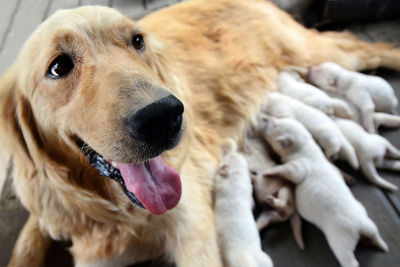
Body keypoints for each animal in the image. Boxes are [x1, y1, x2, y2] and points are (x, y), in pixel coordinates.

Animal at [262, 118, 388, 267]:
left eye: (275, 126)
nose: (265, 119)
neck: (306, 147)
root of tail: (361, 226)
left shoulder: (298, 168)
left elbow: (285, 170)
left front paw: (269, 171)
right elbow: (338, 170)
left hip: (342, 244)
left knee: (349, 260)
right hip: (369, 225)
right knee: (375, 235)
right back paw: (382, 245)